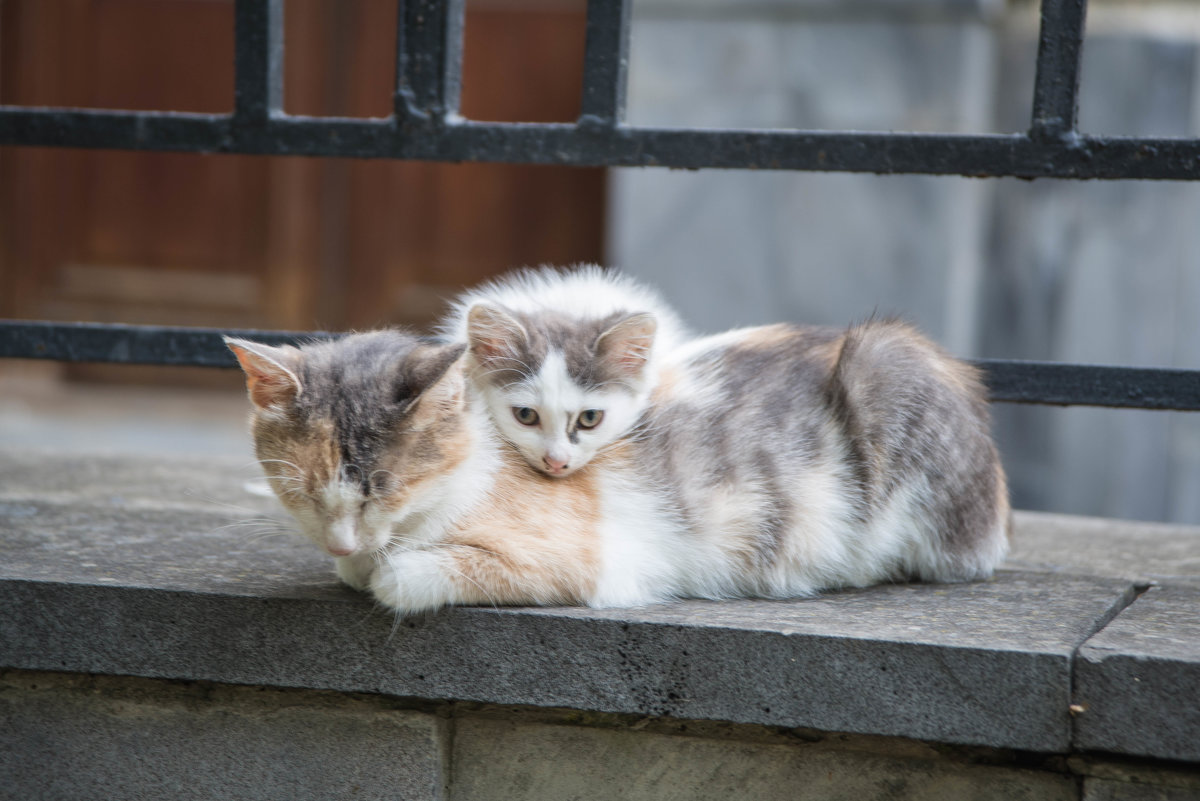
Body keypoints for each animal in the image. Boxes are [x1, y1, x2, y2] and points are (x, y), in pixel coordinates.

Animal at [226, 318, 1012, 613]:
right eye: (300, 490)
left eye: (383, 487)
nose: (340, 543)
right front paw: (354, 566)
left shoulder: (596, 561)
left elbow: (401, 578)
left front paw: (389, 572)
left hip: (888, 369)